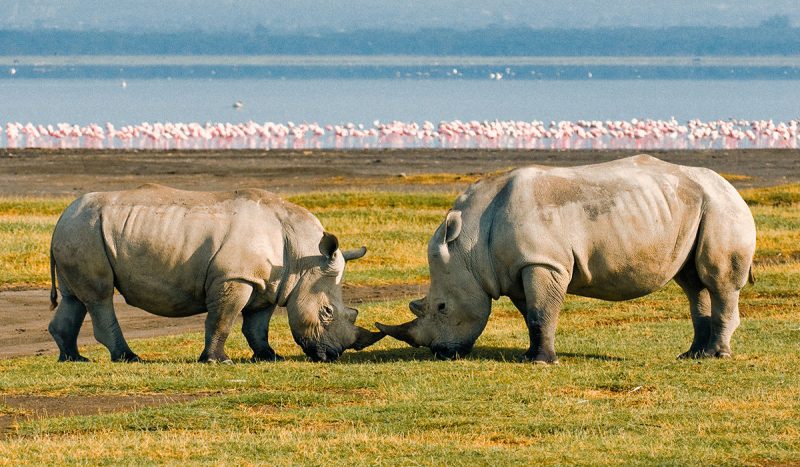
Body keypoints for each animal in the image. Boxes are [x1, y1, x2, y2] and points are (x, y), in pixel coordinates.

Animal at [48, 184, 384, 363]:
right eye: (327, 311)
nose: (333, 355)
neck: (303, 258)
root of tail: (62, 216)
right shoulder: (234, 277)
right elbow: (222, 319)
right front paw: (217, 361)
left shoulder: (267, 283)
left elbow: (257, 325)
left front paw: (269, 356)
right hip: (85, 230)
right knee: (100, 296)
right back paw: (129, 358)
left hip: (79, 230)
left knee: (74, 298)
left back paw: (73, 358)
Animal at [377, 155, 756, 362]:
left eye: (442, 308)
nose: (440, 352)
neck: (470, 245)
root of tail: (732, 188)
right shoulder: (518, 268)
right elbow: (532, 314)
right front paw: (530, 355)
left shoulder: (543, 261)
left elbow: (541, 311)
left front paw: (541, 362)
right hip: (696, 208)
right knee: (693, 282)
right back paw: (692, 355)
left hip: (722, 208)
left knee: (717, 280)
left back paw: (716, 355)